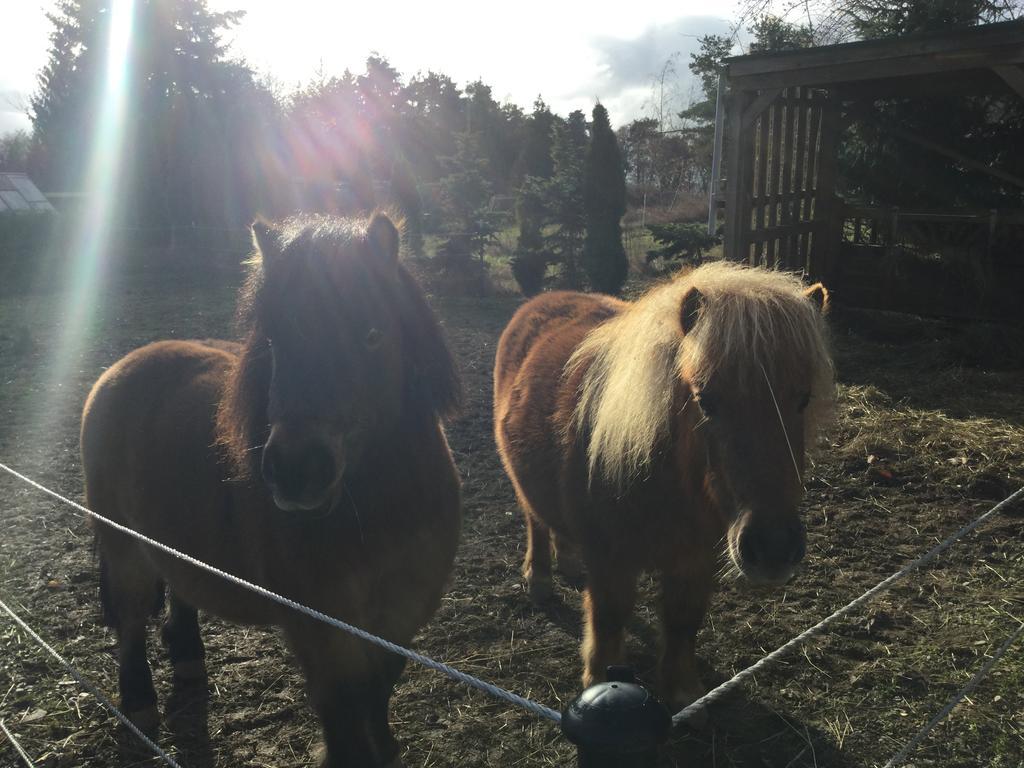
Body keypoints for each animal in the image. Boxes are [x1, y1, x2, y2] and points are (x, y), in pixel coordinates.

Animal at [83, 211, 460, 768]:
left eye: (372, 334)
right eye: (274, 341)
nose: (295, 468)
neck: (381, 513)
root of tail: (118, 370)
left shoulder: (399, 619)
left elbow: (378, 691)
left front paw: (387, 749)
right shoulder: (322, 632)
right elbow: (342, 711)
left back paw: (188, 656)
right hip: (124, 547)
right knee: (130, 621)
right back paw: (139, 702)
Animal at [491, 264, 835, 716]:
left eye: (803, 398)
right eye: (706, 400)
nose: (774, 547)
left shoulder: (694, 561)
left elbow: (682, 621)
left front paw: (683, 693)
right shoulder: (611, 562)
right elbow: (608, 621)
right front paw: (597, 684)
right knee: (536, 521)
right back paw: (540, 579)